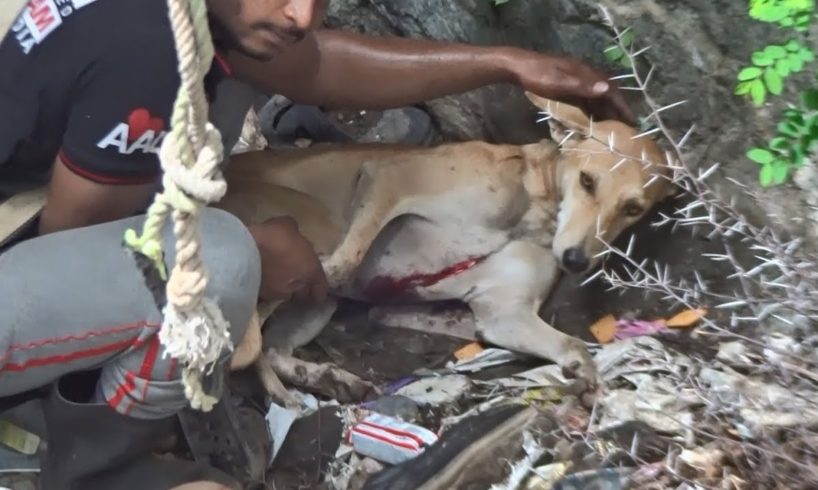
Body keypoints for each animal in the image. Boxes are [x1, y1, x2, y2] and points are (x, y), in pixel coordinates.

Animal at [217, 93, 668, 406]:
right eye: (588, 181)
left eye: (633, 208)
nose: (576, 260)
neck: (534, 210)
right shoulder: (388, 177)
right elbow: (341, 266)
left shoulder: (504, 313)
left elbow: (573, 346)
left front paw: (589, 383)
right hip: (316, 228)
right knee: (260, 326)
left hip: (316, 304)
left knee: (275, 347)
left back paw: (327, 379)